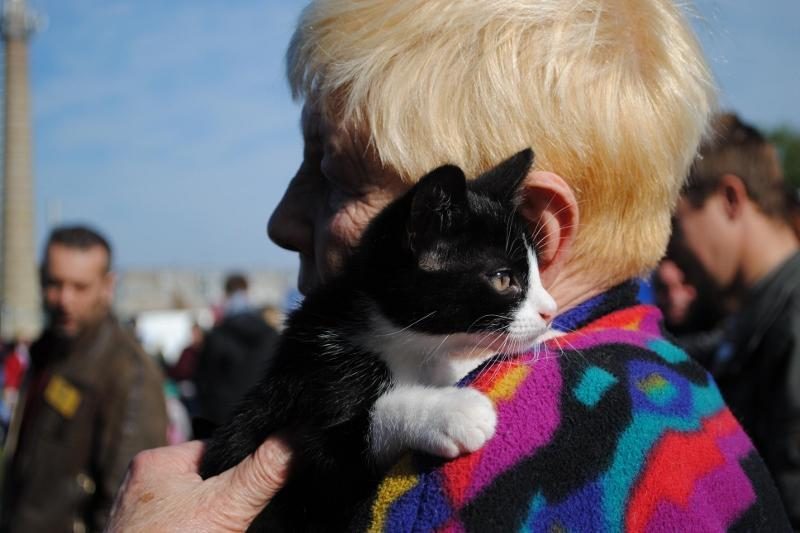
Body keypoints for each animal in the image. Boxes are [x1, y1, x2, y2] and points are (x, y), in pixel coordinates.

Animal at [202, 148, 556, 528]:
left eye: (537, 272)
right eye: (504, 279)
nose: (551, 310)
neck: (410, 343)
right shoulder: (317, 378)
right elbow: (349, 439)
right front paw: (450, 410)